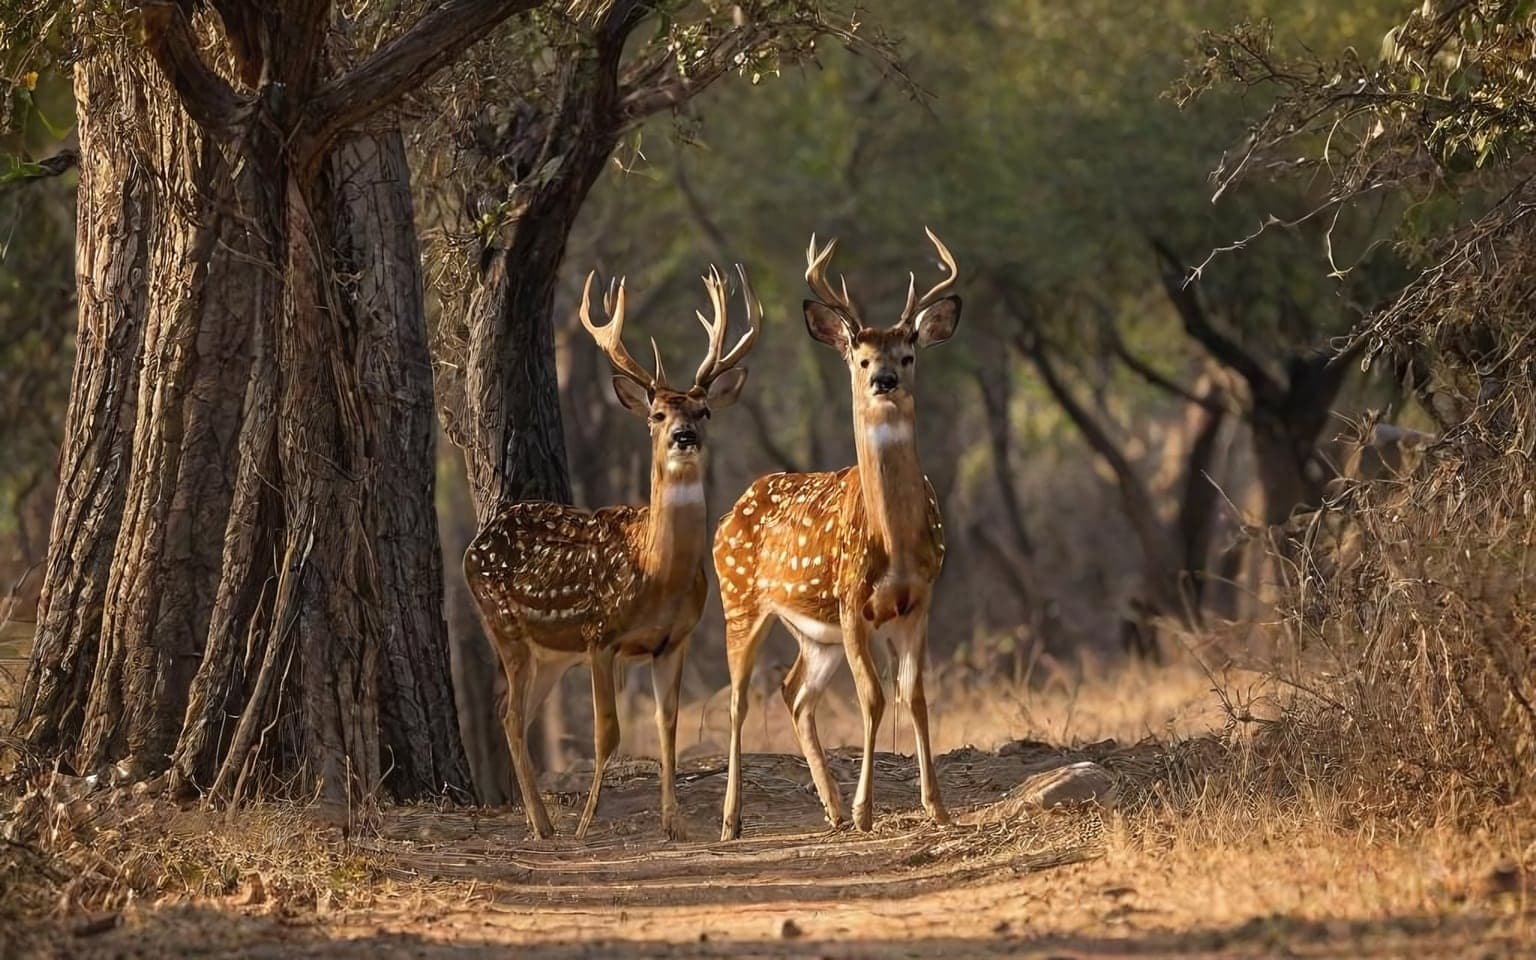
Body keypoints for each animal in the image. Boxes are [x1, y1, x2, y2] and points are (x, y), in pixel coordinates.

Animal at [465, 264, 760, 841]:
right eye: (656, 413)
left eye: (704, 410)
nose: (684, 436)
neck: (656, 574)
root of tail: (473, 545)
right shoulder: (600, 634)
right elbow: (608, 732)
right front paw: (586, 823)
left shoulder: (674, 640)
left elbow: (667, 726)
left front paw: (675, 824)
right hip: (505, 626)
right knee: (510, 713)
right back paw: (545, 824)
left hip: (551, 653)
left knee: (514, 711)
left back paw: (539, 819)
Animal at [715, 228, 961, 841]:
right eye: (861, 355)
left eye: (908, 353)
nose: (883, 380)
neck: (895, 544)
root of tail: (730, 511)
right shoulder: (852, 601)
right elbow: (872, 698)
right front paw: (867, 810)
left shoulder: (919, 600)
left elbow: (914, 695)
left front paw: (937, 807)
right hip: (739, 602)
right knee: (738, 700)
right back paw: (731, 820)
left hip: (815, 633)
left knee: (794, 692)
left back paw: (830, 809)